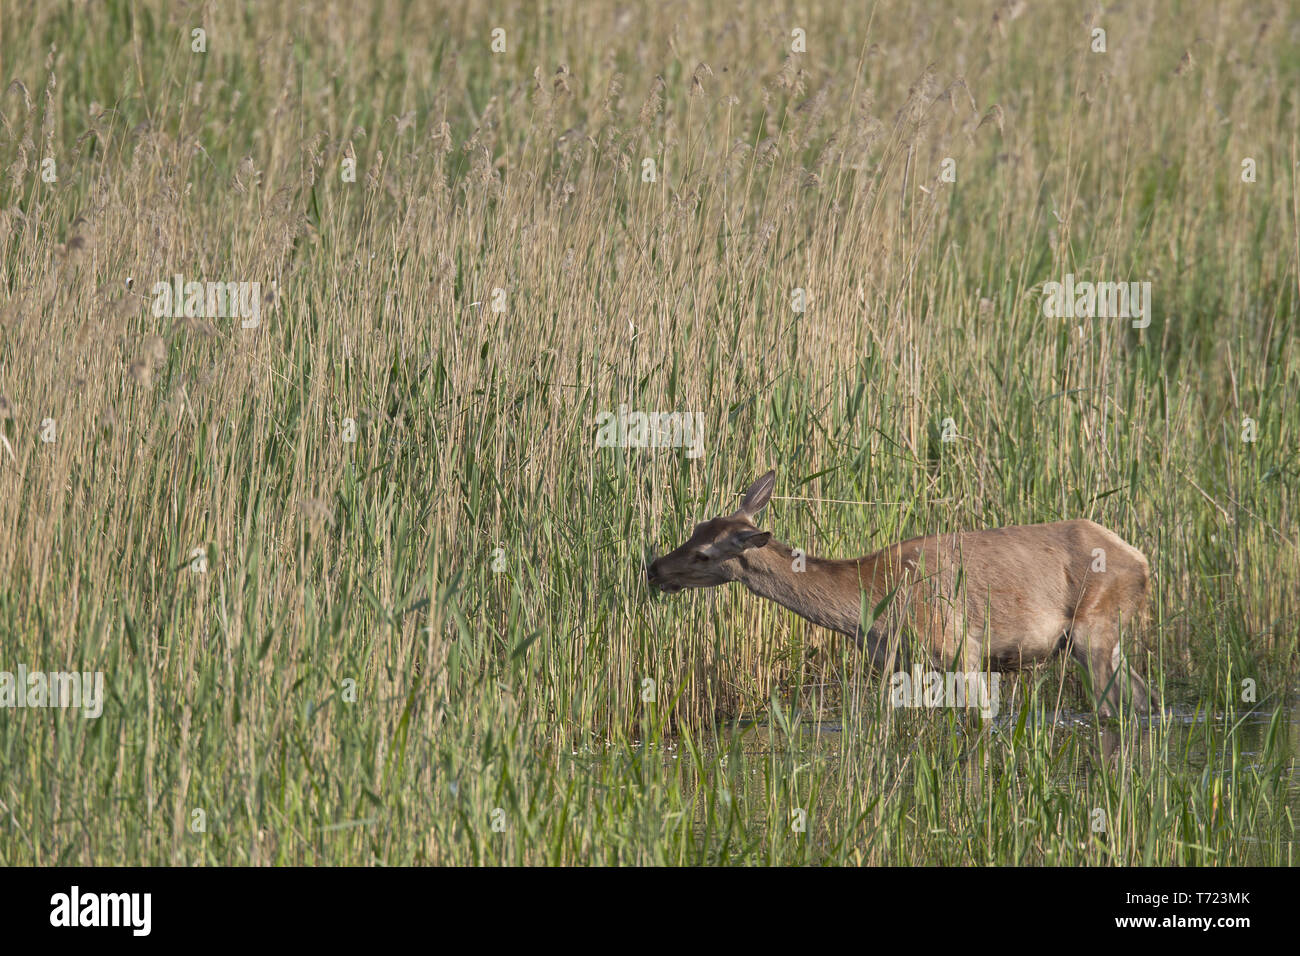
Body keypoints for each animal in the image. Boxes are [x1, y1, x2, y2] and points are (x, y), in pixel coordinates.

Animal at [646, 470, 1153, 716]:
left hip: (1093, 630)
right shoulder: (900, 664)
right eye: (695, 527)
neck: (868, 608)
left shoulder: (961, 649)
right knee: (1141, 698)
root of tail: (1142, 560)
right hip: (1111, 639)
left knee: (1113, 707)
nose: (653, 568)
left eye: (704, 554)